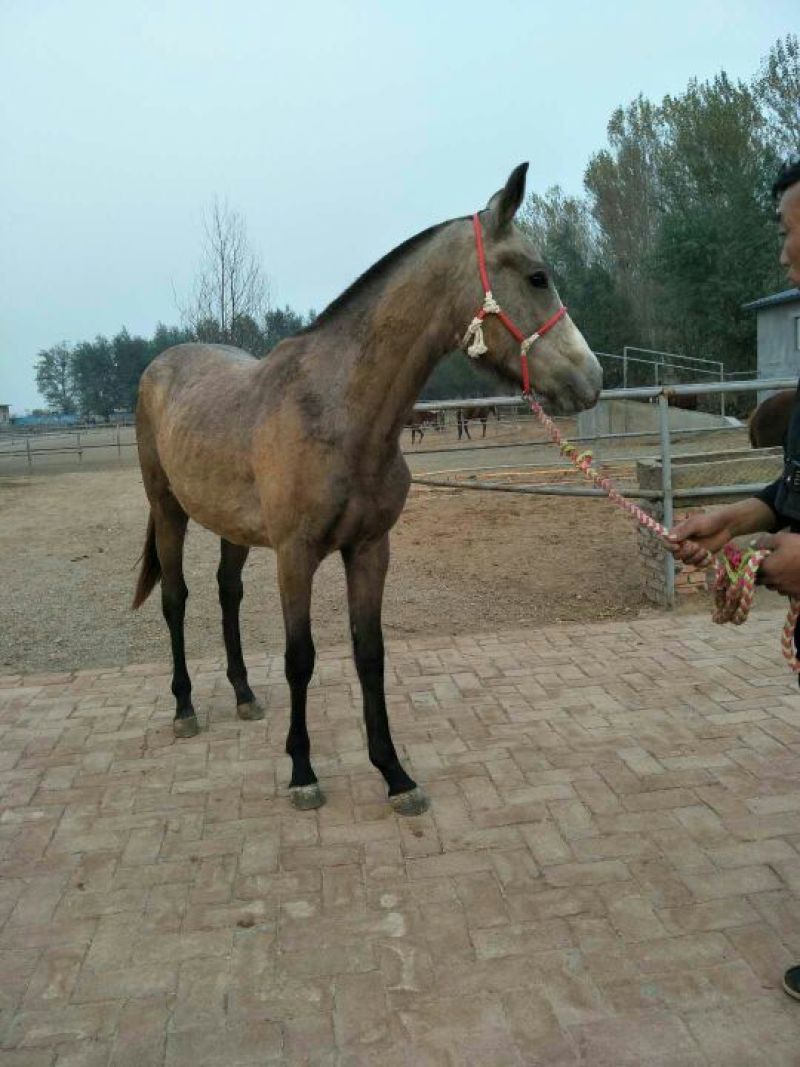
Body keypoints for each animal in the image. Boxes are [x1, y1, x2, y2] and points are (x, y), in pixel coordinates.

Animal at [132, 163, 602, 815]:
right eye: (537, 276)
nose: (592, 379)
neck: (338, 409)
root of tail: (160, 367)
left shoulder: (369, 548)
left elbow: (369, 654)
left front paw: (394, 774)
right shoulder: (296, 555)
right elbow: (300, 658)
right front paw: (302, 772)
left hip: (234, 528)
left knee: (228, 594)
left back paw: (245, 696)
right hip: (168, 509)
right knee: (176, 599)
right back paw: (184, 708)